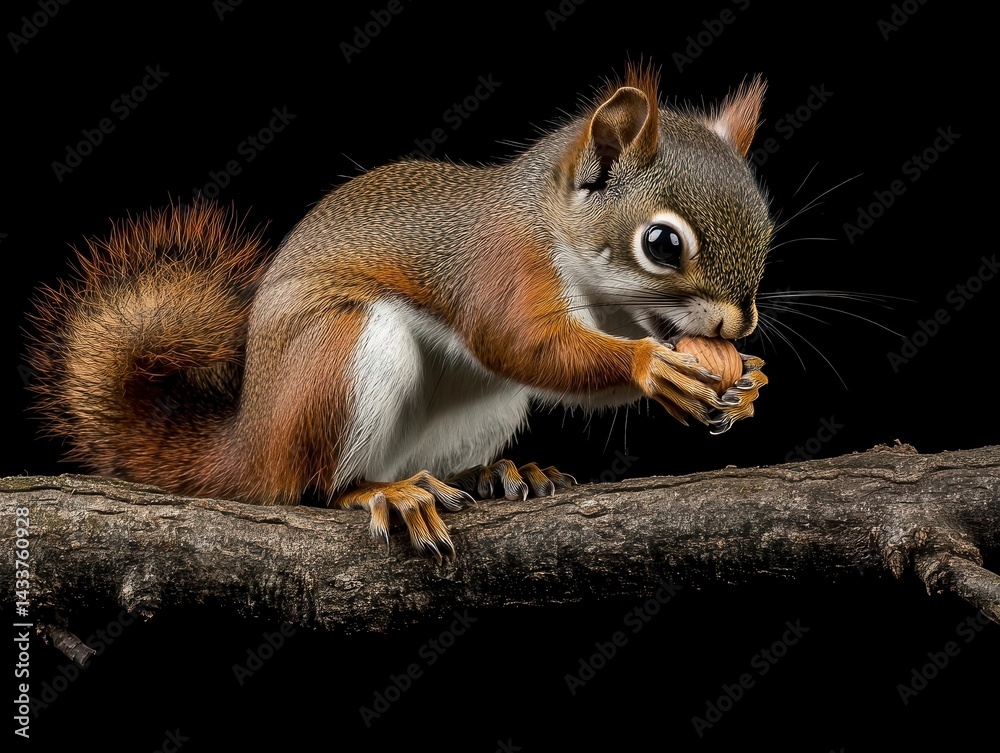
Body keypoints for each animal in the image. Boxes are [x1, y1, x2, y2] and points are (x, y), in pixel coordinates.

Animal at [27, 65, 771, 562]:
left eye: (765, 224)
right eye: (662, 244)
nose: (737, 327)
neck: (553, 229)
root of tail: (251, 444)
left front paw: (746, 381)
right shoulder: (499, 268)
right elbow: (520, 345)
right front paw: (656, 368)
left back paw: (494, 473)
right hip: (342, 353)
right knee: (309, 487)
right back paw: (382, 493)